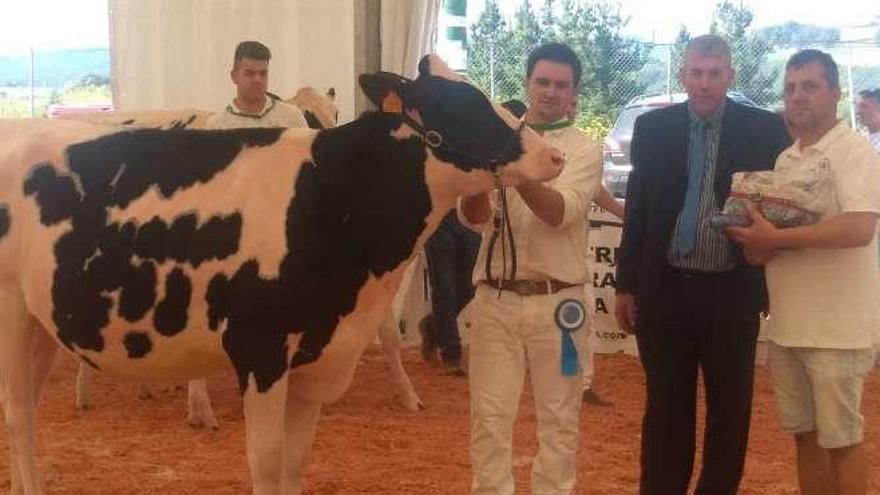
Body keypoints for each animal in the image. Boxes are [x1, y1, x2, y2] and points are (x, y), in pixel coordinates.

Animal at [0, 56, 564, 494]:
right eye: (463, 104)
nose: (554, 155)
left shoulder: (319, 359)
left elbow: (295, 464)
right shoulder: (260, 349)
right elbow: (267, 464)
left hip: (44, 321)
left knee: (27, 410)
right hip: (11, 317)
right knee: (19, 417)